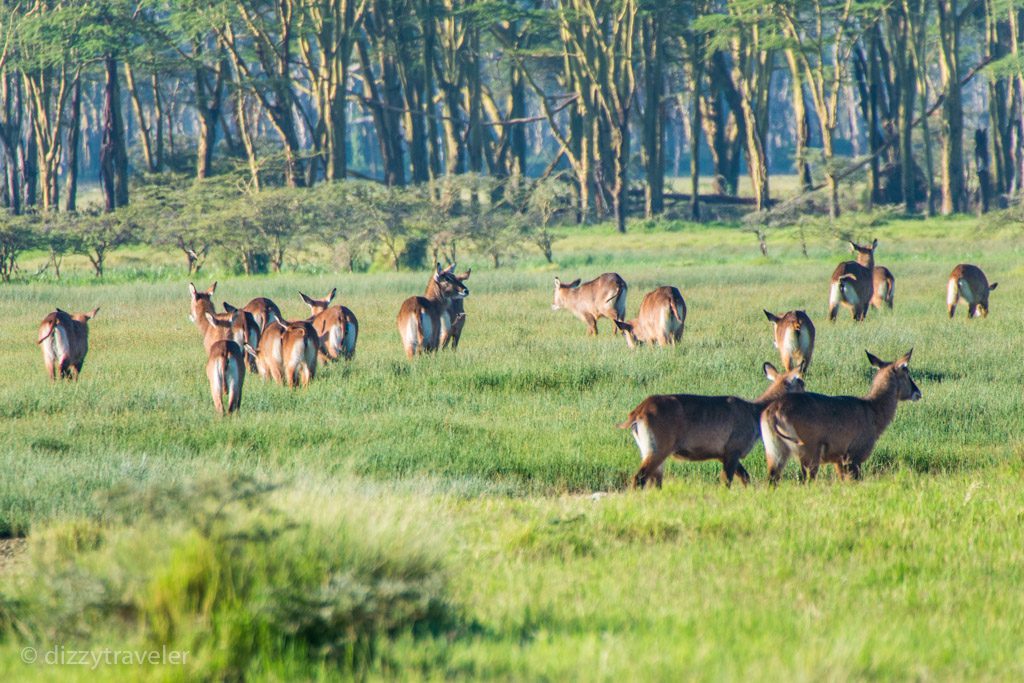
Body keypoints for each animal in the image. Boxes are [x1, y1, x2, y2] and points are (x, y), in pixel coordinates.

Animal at [614, 360, 806, 489]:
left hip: (648, 450)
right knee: (639, 478)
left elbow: (745, 477)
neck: (754, 410)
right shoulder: (733, 451)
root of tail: (638, 411)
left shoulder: (724, 454)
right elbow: (727, 481)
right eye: (801, 383)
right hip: (657, 450)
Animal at [761, 350, 921, 483]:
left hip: (775, 452)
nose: (918, 392)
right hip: (809, 454)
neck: (872, 409)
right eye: (906, 371)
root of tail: (773, 410)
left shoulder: (839, 461)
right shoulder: (853, 458)